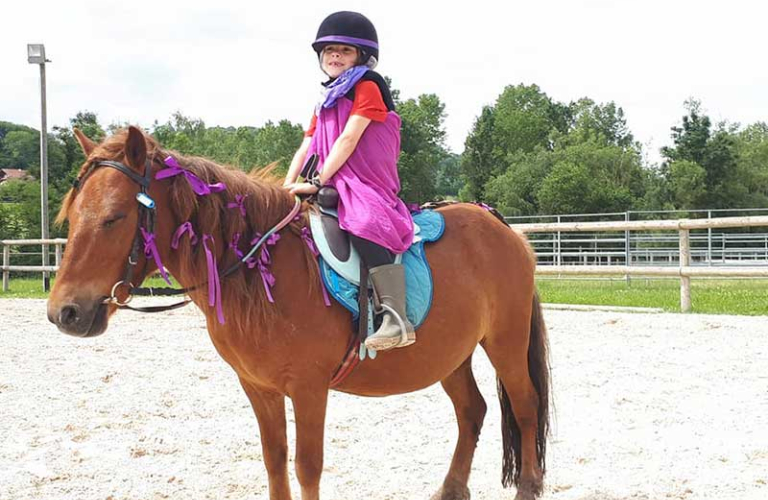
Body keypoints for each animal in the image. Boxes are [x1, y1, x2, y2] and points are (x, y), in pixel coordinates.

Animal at [48, 126, 548, 500]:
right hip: (451, 354)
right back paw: (451, 489)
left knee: (525, 406)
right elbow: (274, 460)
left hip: (504, 341)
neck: (259, 269)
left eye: (113, 217)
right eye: (72, 216)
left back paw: (528, 487)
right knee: (472, 411)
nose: (63, 312)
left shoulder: (309, 388)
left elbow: (308, 466)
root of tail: (502, 227)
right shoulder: (258, 387)